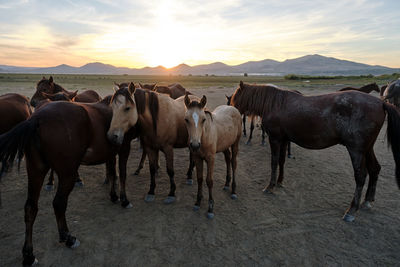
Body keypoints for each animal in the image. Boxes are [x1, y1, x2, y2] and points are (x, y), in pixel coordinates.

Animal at [231, 81, 400, 222]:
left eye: (235, 97)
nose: (233, 112)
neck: (274, 104)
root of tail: (380, 103)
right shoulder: (284, 140)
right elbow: (281, 161)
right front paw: (279, 182)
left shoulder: (275, 139)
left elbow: (273, 162)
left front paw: (270, 186)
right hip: (368, 148)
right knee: (375, 169)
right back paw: (367, 201)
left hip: (357, 150)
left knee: (361, 176)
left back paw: (351, 210)